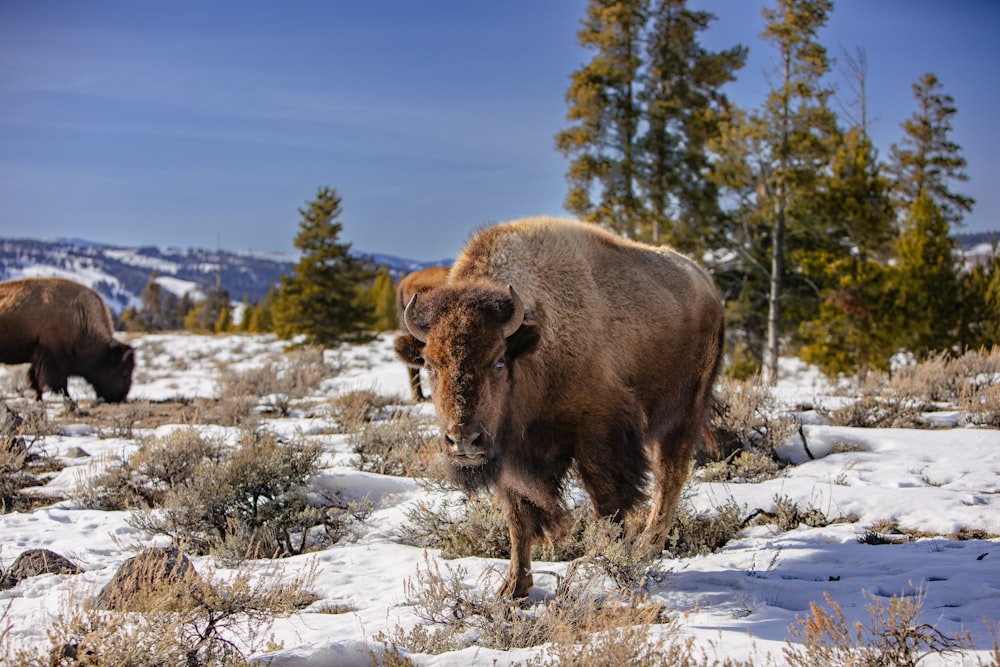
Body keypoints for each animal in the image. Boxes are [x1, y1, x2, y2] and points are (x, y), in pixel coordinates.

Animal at [0, 276, 135, 402]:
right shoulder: (53, 358)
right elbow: (60, 384)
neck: (78, 315)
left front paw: (39, 399)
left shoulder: (38, 358)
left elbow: (36, 380)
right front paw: (68, 399)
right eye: (124, 372)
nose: (122, 397)